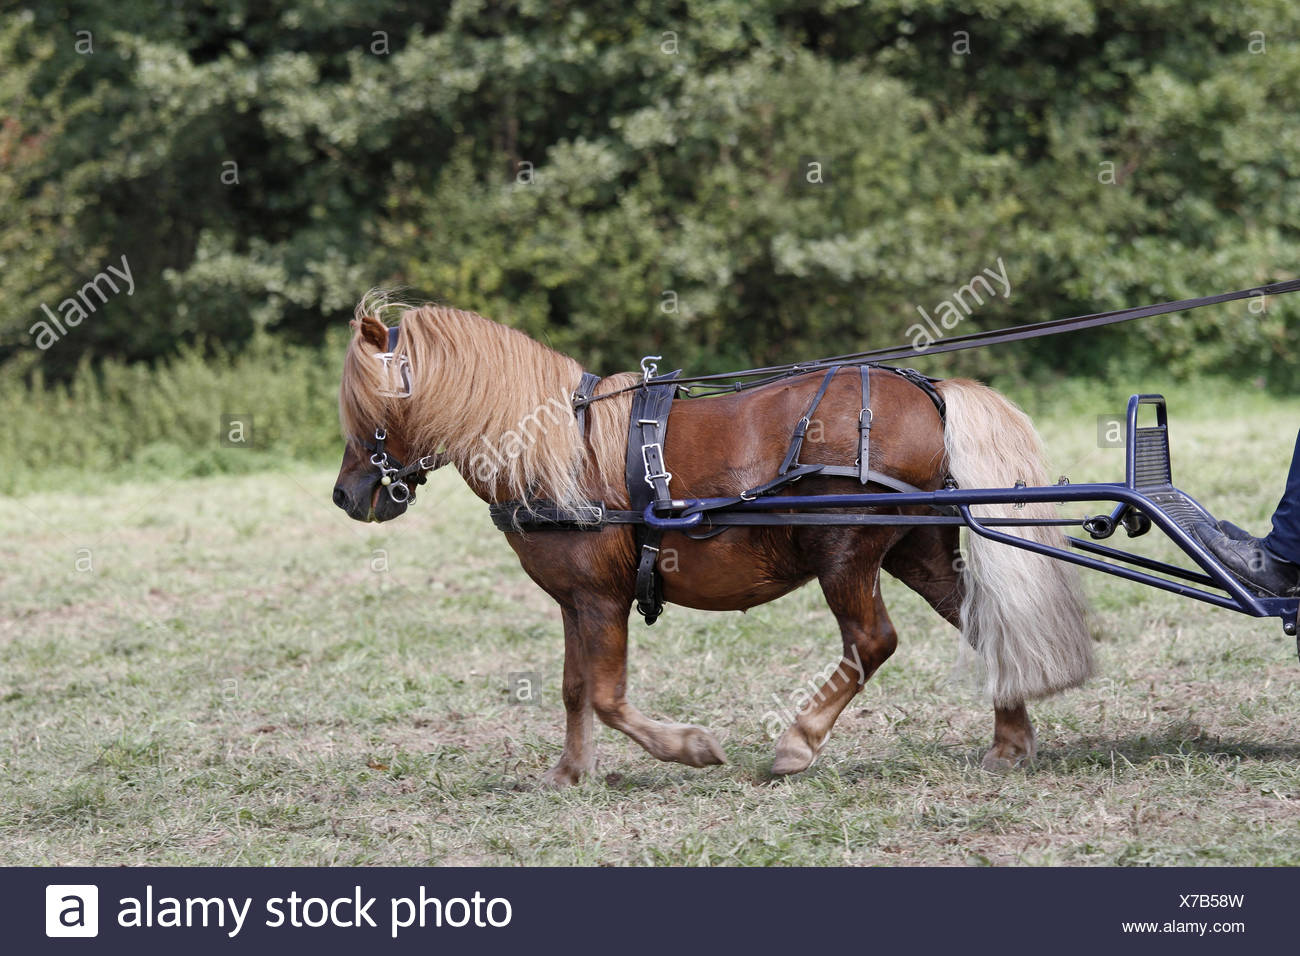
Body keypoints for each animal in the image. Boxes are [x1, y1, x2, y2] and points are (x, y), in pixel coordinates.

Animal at [332, 294, 1093, 786]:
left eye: (371, 406)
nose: (346, 495)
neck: (557, 448)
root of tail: (928, 392)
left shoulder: (600, 598)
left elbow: (605, 695)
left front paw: (689, 748)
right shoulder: (577, 600)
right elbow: (576, 689)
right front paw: (571, 772)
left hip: (845, 552)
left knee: (872, 641)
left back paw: (798, 744)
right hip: (916, 549)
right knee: (982, 621)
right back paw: (1010, 741)